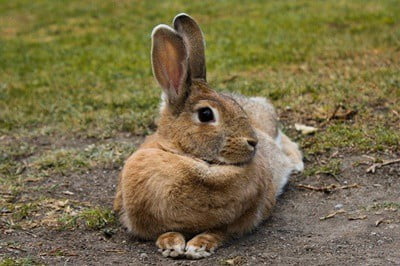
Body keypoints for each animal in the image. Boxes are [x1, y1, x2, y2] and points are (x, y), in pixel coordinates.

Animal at [113, 13, 304, 260]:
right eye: (206, 114)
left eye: (234, 106)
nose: (253, 142)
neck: (188, 157)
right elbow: (165, 231)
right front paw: (171, 245)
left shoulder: (243, 219)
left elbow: (219, 232)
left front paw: (198, 246)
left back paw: (297, 164)